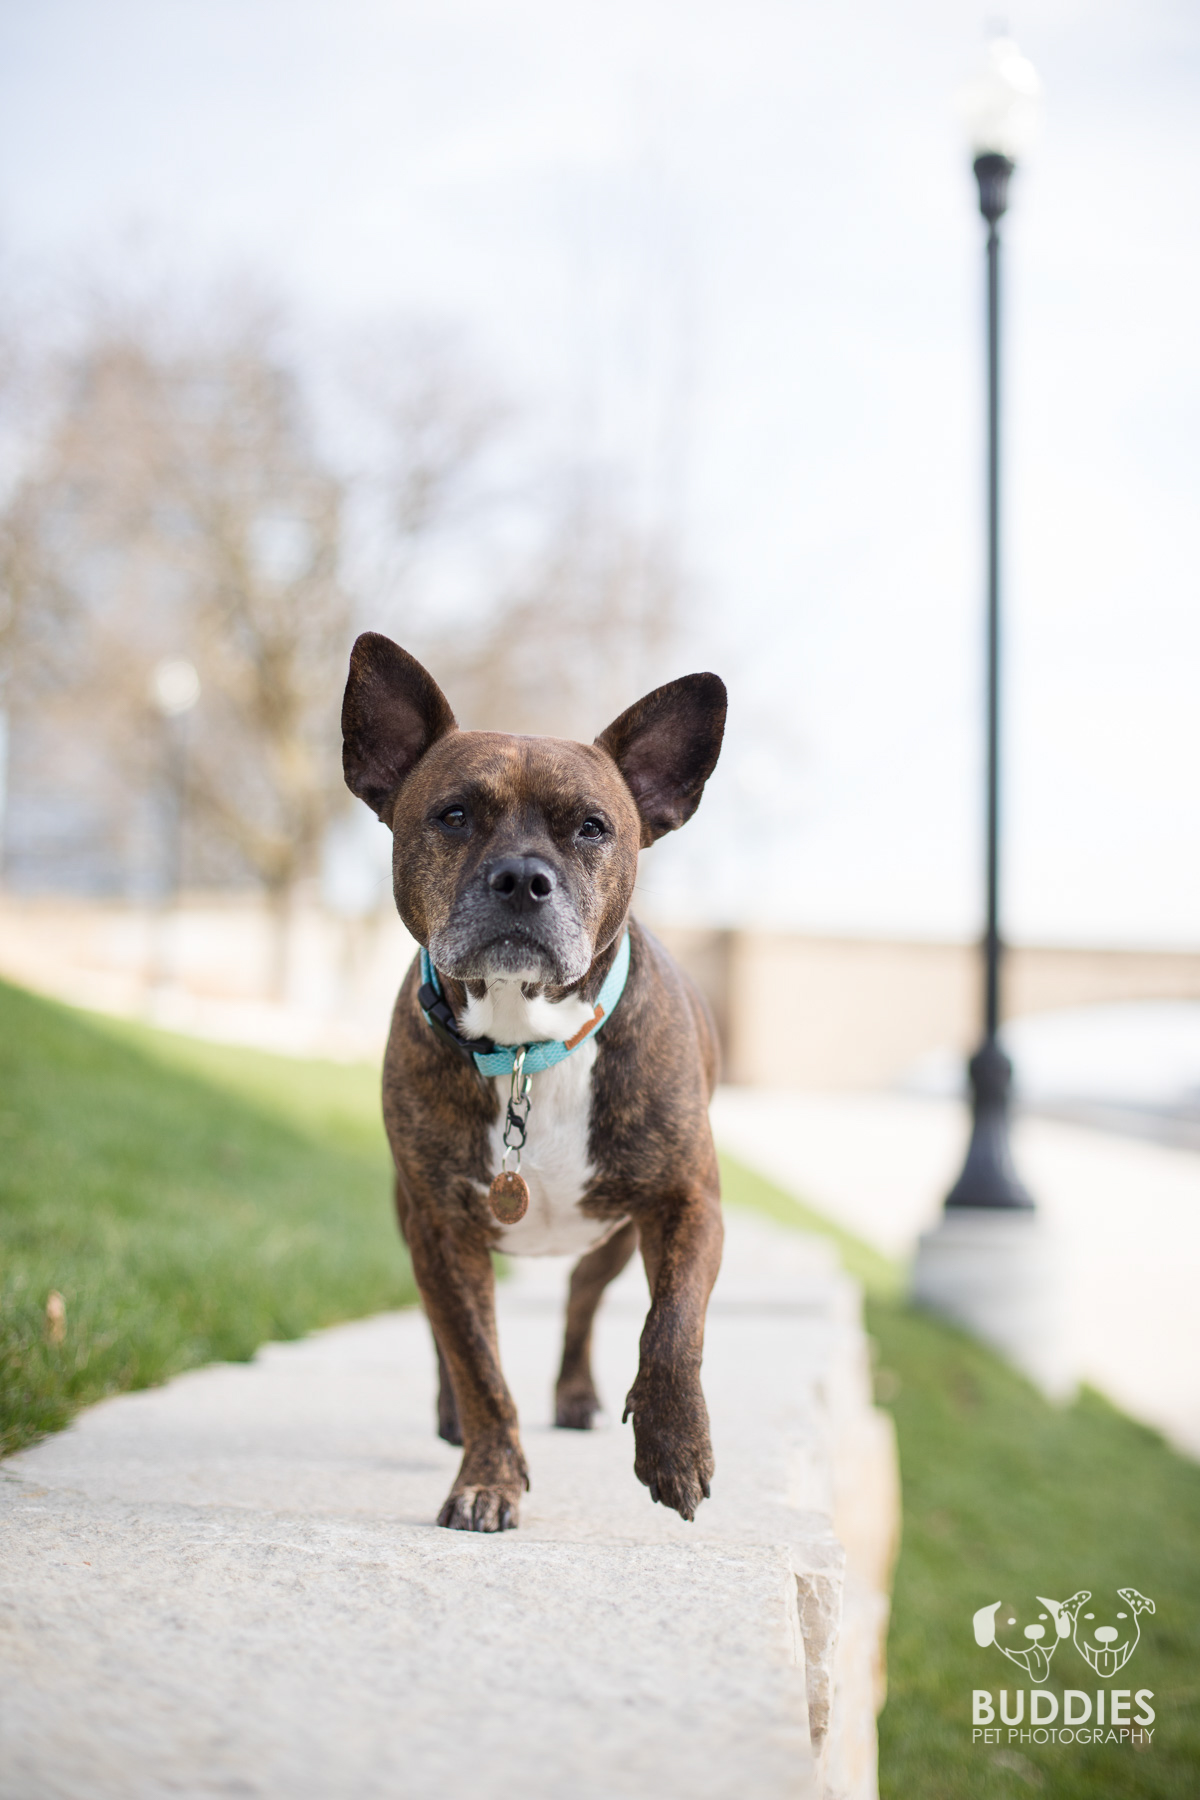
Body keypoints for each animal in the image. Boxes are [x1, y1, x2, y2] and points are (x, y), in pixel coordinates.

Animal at [341, 633, 726, 1533]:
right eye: (452, 815)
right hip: (415, 1222)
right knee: (450, 1336)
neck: (524, 1046)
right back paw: (453, 1415)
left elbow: (673, 1326)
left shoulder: (689, 1199)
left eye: (592, 828)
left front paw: (674, 1443)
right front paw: (490, 1477)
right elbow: (479, 1365)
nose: (522, 877)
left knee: (585, 1301)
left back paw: (580, 1394)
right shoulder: (442, 1229)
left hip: (614, 1236)